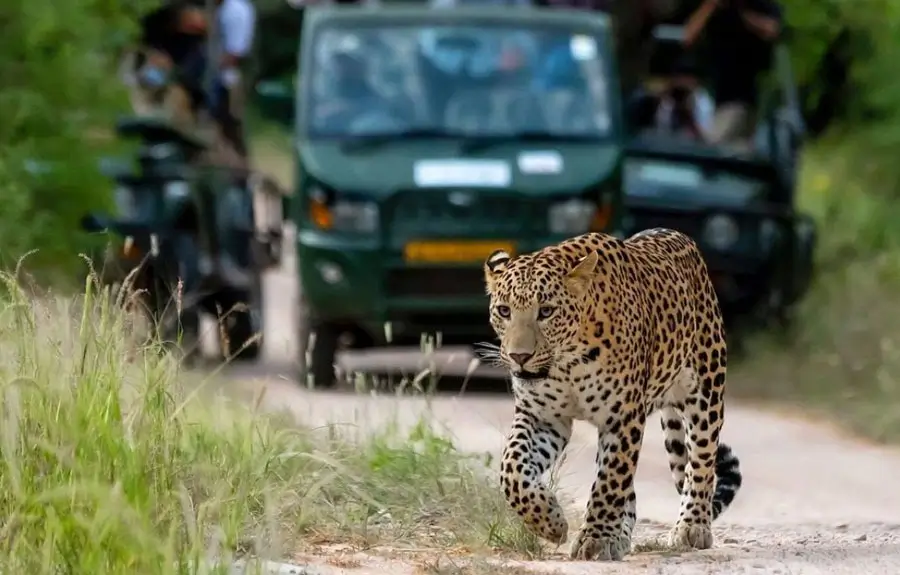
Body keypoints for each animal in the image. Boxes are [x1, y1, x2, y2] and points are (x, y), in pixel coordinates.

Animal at [480, 228, 742, 561]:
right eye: (504, 311)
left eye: (546, 312)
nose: (519, 356)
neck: (568, 362)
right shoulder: (542, 417)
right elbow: (512, 470)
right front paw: (549, 522)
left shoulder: (623, 417)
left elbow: (609, 481)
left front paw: (595, 539)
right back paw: (621, 536)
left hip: (706, 390)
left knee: (701, 462)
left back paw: (692, 526)